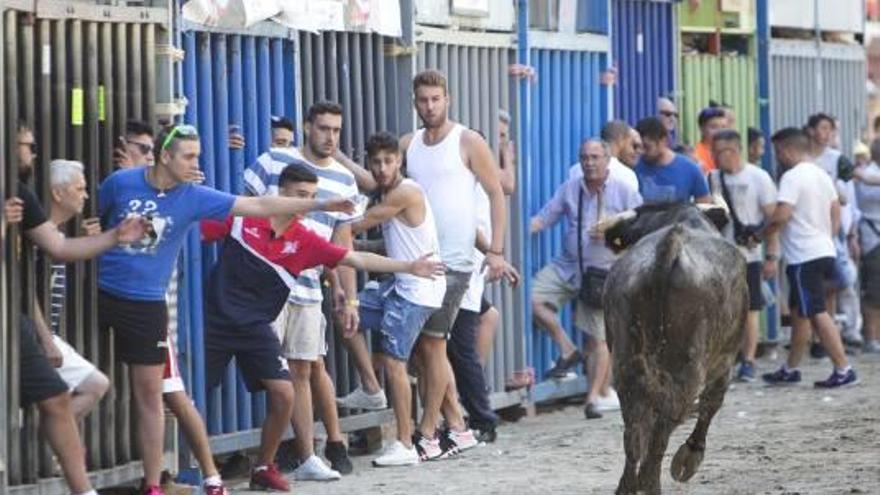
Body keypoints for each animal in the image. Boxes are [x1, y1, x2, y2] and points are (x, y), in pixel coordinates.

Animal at [600, 203, 744, 494]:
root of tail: (668, 246)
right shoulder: (725, 360)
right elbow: (711, 403)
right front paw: (690, 457)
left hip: (625, 360)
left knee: (635, 431)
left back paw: (629, 485)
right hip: (687, 365)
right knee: (662, 429)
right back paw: (650, 482)